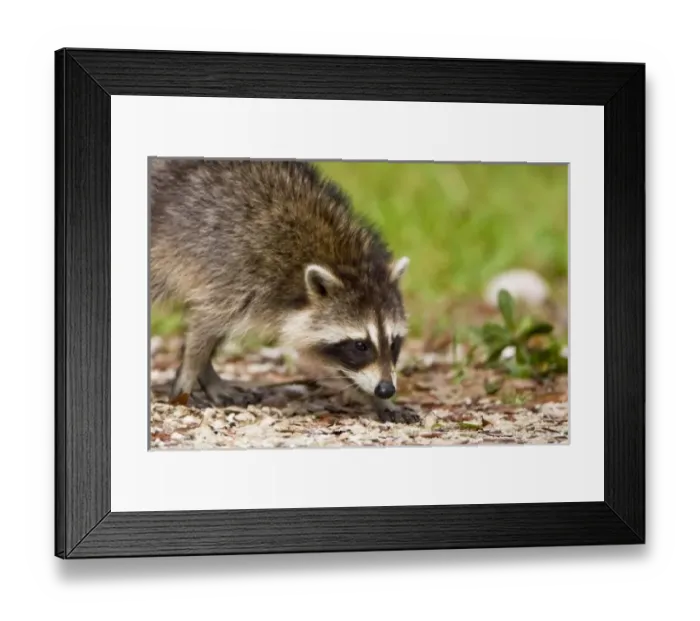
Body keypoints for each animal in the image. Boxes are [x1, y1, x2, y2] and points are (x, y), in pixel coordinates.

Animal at [149, 158, 417, 423]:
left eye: (394, 343)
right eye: (360, 345)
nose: (386, 389)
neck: (345, 260)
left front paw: (381, 401)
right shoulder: (235, 273)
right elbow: (205, 325)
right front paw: (189, 374)